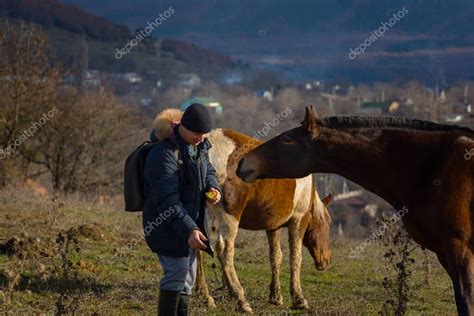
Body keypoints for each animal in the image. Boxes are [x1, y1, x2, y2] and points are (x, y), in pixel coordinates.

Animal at [154, 110, 332, 312]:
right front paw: (299, 298)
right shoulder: (298, 220)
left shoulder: (273, 226)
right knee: (224, 250)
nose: (326, 262)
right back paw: (240, 298)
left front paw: (275, 296)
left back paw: (207, 296)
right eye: (327, 226)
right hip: (229, 216)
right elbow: (296, 258)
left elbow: (276, 257)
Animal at [239, 107, 474, 316]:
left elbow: (465, 300)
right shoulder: (445, 251)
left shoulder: (459, 246)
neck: (433, 166)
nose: (243, 162)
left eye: (287, 139)